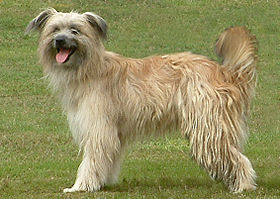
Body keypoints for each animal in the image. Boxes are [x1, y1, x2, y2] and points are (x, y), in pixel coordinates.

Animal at [25, 8, 258, 193]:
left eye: (75, 30)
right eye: (55, 29)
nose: (59, 41)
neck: (89, 69)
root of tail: (225, 73)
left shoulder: (98, 128)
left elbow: (92, 159)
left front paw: (81, 186)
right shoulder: (113, 132)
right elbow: (108, 159)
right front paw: (103, 182)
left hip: (208, 128)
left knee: (237, 158)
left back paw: (243, 186)